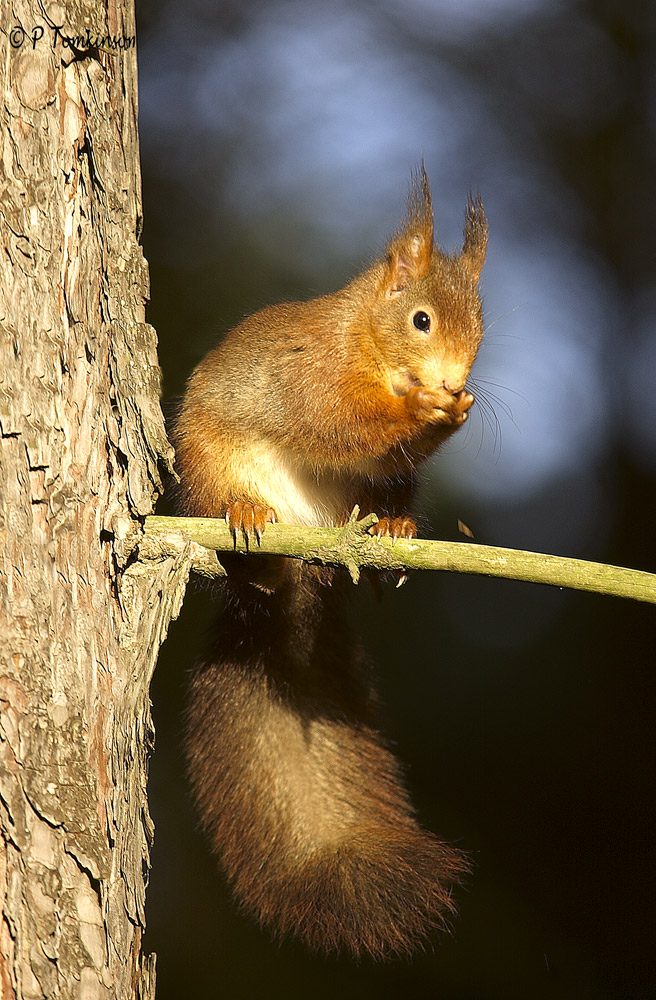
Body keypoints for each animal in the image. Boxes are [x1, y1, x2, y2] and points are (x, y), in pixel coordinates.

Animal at [173, 167, 487, 959]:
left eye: (482, 322)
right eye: (420, 321)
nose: (456, 379)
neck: (367, 344)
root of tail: (310, 560)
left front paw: (456, 409)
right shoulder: (310, 377)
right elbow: (339, 424)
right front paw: (426, 412)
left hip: (371, 504)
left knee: (384, 502)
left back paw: (393, 535)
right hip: (208, 465)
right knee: (244, 544)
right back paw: (249, 529)